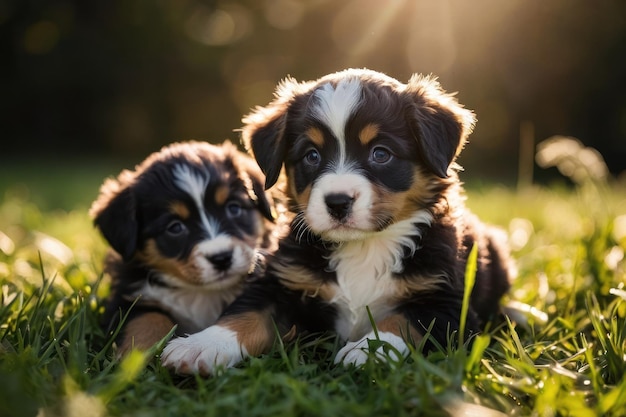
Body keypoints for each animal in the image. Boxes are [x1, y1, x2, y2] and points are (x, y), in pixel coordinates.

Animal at [90, 141, 276, 354]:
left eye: (234, 208)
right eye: (175, 227)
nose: (221, 258)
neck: (201, 293)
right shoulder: (128, 297)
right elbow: (147, 319)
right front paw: (139, 355)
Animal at [161, 68, 512, 374]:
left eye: (380, 154)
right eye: (311, 155)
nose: (338, 202)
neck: (363, 247)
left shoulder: (446, 302)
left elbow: (402, 322)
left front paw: (367, 351)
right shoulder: (282, 282)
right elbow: (246, 313)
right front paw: (201, 345)